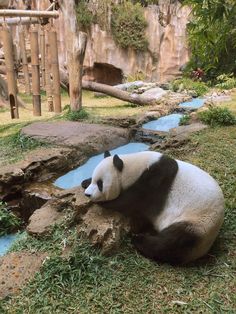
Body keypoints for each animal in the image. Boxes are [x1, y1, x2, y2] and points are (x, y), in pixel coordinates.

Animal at [82, 151, 224, 264]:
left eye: (100, 184)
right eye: (94, 179)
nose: (87, 194)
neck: (133, 167)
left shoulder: (155, 181)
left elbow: (131, 201)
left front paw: (104, 202)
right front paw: (85, 182)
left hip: (197, 223)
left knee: (173, 243)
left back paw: (138, 239)